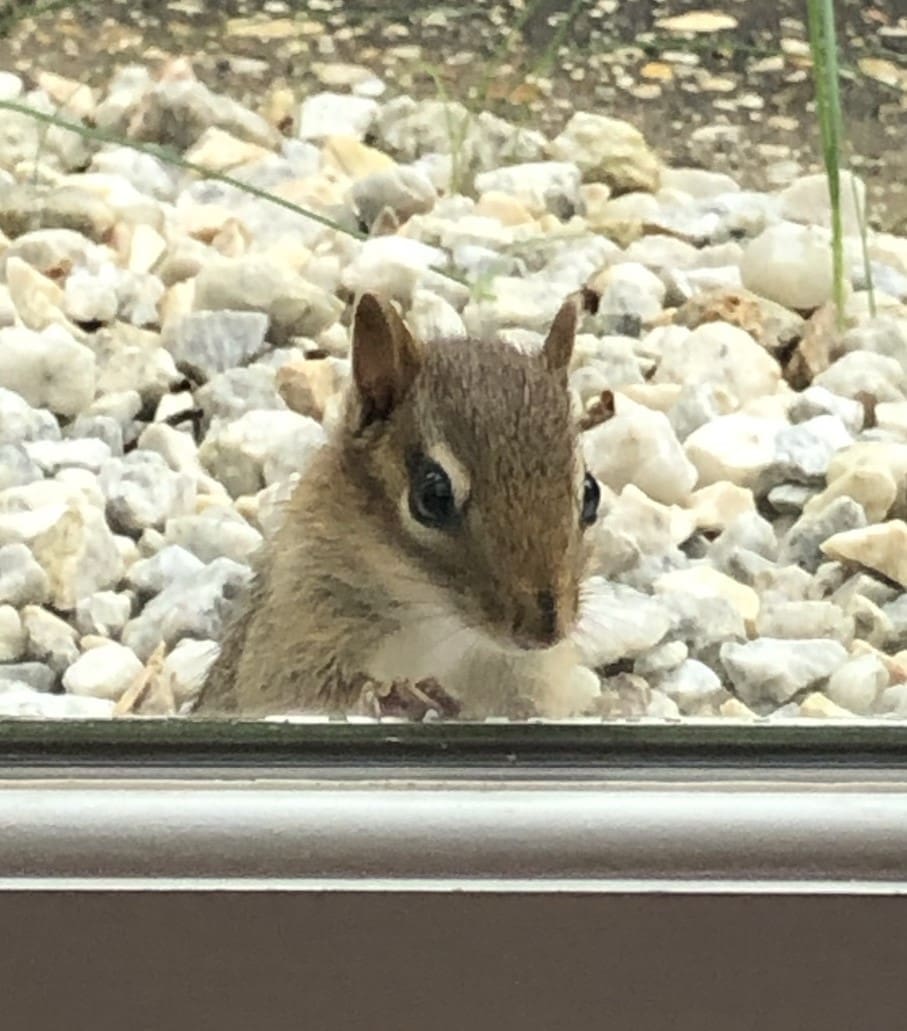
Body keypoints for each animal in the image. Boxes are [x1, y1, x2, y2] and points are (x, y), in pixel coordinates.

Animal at [194, 288, 604, 720]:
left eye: (591, 492)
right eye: (433, 497)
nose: (545, 631)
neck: (437, 624)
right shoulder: (291, 640)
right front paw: (395, 694)